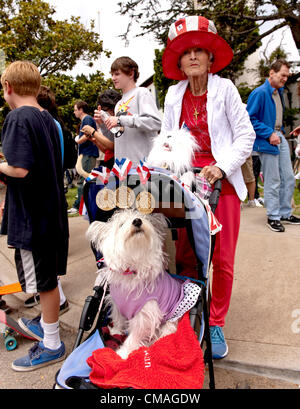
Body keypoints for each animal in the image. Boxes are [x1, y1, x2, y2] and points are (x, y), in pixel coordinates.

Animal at [85, 209, 200, 358]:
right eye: (121, 224)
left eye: (142, 218)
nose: (137, 221)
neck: (131, 268)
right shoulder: (117, 305)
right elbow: (118, 319)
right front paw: (116, 331)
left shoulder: (145, 315)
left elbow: (134, 336)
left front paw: (123, 353)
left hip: (172, 319)